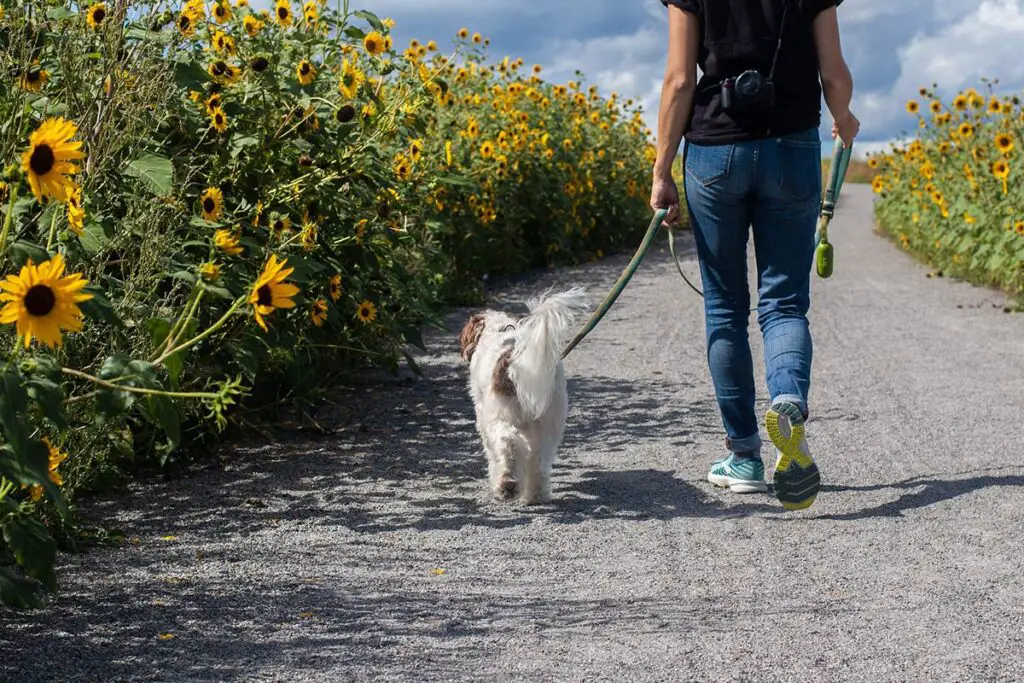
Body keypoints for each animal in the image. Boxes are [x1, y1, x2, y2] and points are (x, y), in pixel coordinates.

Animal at [458, 286, 589, 505]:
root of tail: (515, 359)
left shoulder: (483, 416)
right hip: (549, 422)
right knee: (539, 462)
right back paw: (537, 495)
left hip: (501, 417)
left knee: (508, 444)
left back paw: (507, 485)